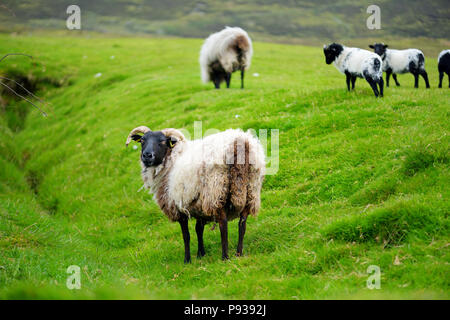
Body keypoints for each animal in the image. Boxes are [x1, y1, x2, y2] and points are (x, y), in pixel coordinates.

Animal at [125, 125, 266, 262]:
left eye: (163, 142)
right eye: (142, 141)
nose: (147, 155)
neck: (171, 159)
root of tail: (241, 143)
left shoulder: (178, 207)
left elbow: (186, 235)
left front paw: (187, 260)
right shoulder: (198, 204)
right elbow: (199, 229)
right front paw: (200, 254)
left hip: (216, 191)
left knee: (223, 224)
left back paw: (225, 257)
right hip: (250, 192)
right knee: (242, 224)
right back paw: (238, 253)